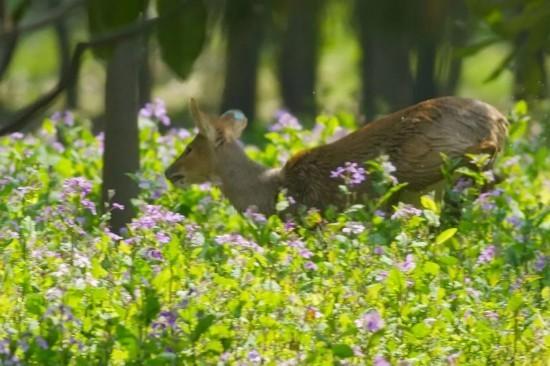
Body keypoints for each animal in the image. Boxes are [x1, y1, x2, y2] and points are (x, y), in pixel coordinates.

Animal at [166, 97, 512, 216]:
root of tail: (499, 120)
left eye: (189, 147)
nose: (169, 172)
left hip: (421, 158)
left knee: (478, 159)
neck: (270, 192)